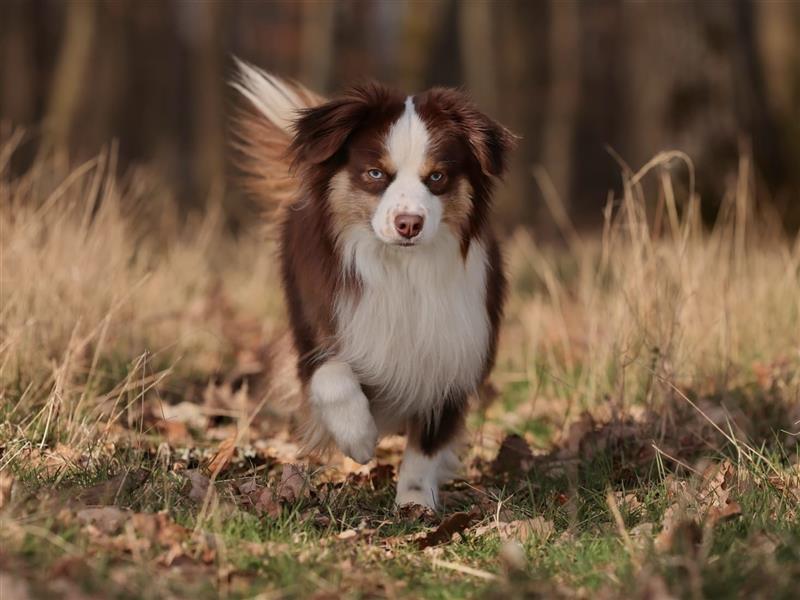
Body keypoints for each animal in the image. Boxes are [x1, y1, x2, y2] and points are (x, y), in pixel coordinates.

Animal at [234, 61, 516, 508]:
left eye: (437, 176)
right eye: (375, 173)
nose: (409, 223)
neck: (400, 267)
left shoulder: (455, 349)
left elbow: (428, 442)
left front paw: (415, 502)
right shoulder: (319, 323)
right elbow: (331, 376)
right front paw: (359, 437)